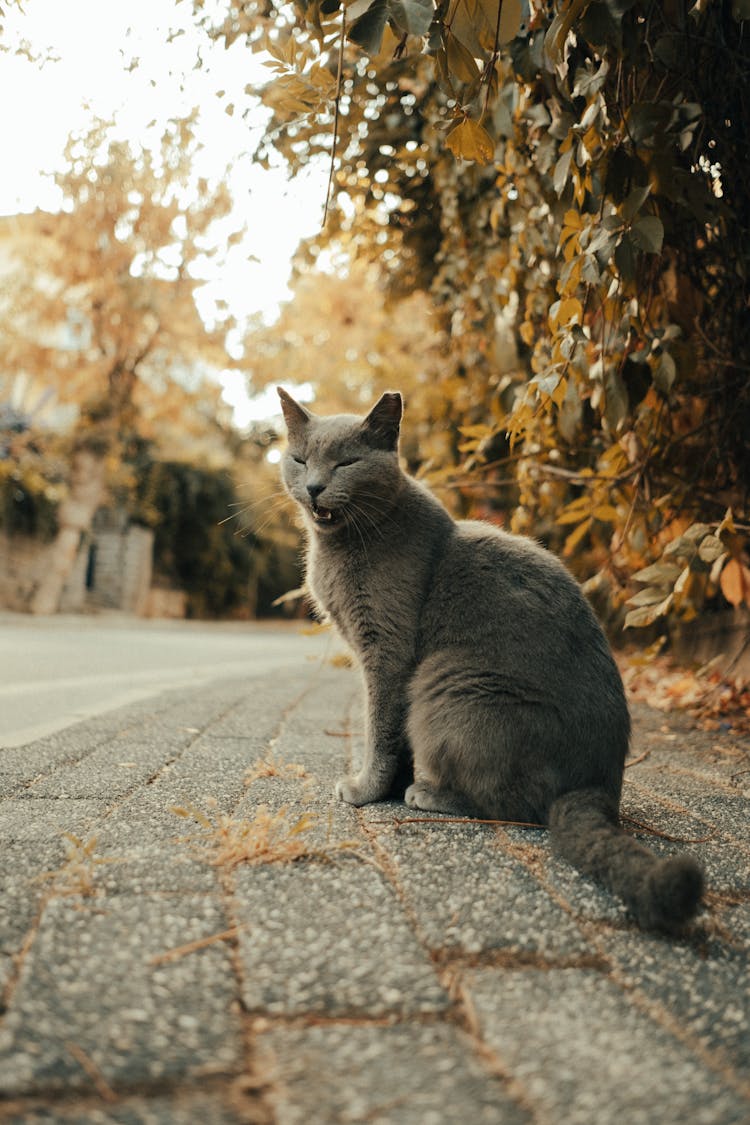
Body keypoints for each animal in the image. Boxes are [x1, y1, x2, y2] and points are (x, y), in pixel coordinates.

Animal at [275, 387, 706, 931]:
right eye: (299, 459)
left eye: (346, 462)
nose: (313, 486)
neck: (341, 545)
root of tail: (600, 785)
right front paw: (389, 785)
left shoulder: (387, 653)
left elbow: (380, 729)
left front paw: (367, 789)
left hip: (446, 684)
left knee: (515, 803)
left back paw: (430, 794)